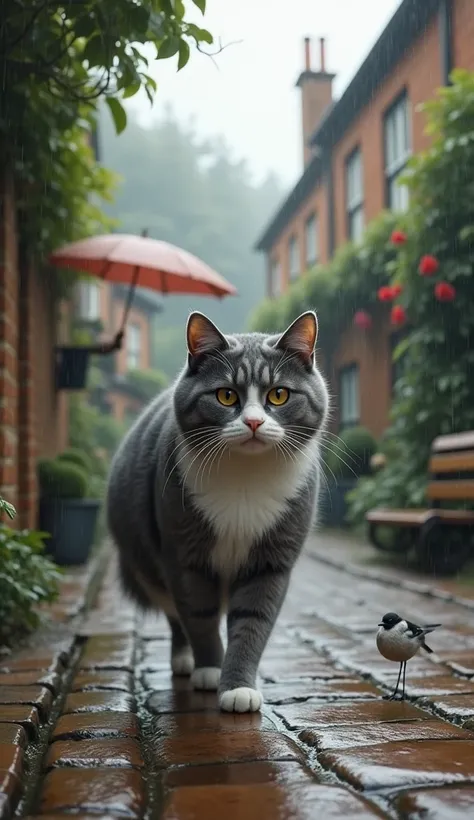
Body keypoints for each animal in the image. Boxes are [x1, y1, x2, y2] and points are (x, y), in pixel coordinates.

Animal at [106, 310, 330, 712]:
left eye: (279, 394)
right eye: (226, 395)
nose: (254, 422)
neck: (245, 481)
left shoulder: (271, 562)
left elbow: (252, 622)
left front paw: (238, 687)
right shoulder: (185, 556)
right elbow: (199, 616)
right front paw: (210, 669)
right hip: (151, 567)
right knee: (175, 615)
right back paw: (184, 660)